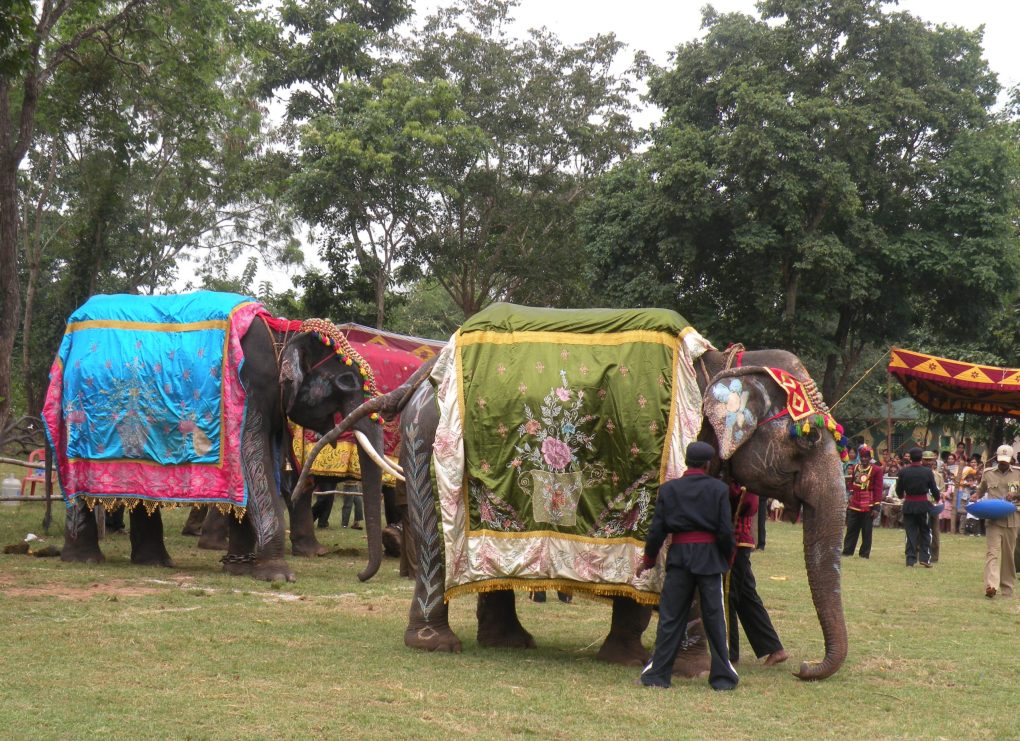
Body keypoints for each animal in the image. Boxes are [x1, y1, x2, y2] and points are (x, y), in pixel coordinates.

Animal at [45, 293, 390, 583]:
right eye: (347, 381)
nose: (360, 575)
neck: (283, 333)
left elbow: (258, 467)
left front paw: (239, 569)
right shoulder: (250, 384)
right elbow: (253, 461)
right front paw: (278, 576)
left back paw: (154, 562)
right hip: (74, 410)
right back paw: (85, 560)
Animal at [333, 306, 849, 681]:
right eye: (807, 440)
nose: (805, 668)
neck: (724, 360)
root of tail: (424, 373)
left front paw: (628, 658)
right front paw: (692, 672)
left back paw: (509, 642)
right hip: (428, 439)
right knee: (435, 539)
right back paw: (438, 646)